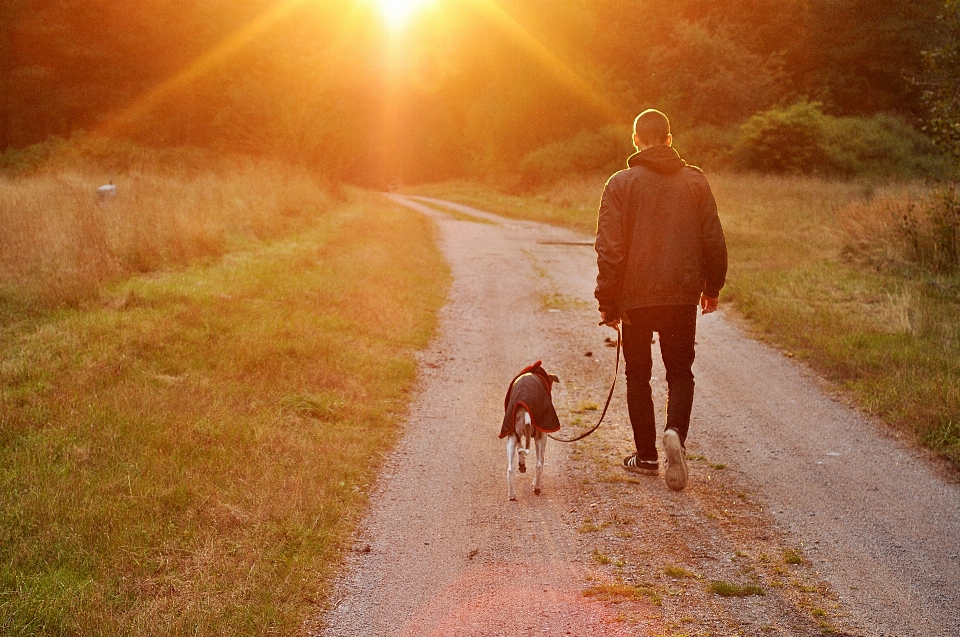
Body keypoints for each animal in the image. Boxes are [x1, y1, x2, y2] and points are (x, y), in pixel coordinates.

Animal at [498, 360, 560, 500]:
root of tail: (524, 404)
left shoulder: (516, 435)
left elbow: (520, 449)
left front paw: (522, 464)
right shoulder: (543, 435)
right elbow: (540, 461)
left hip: (511, 436)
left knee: (510, 469)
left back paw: (512, 495)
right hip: (540, 436)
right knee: (539, 464)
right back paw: (537, 487)